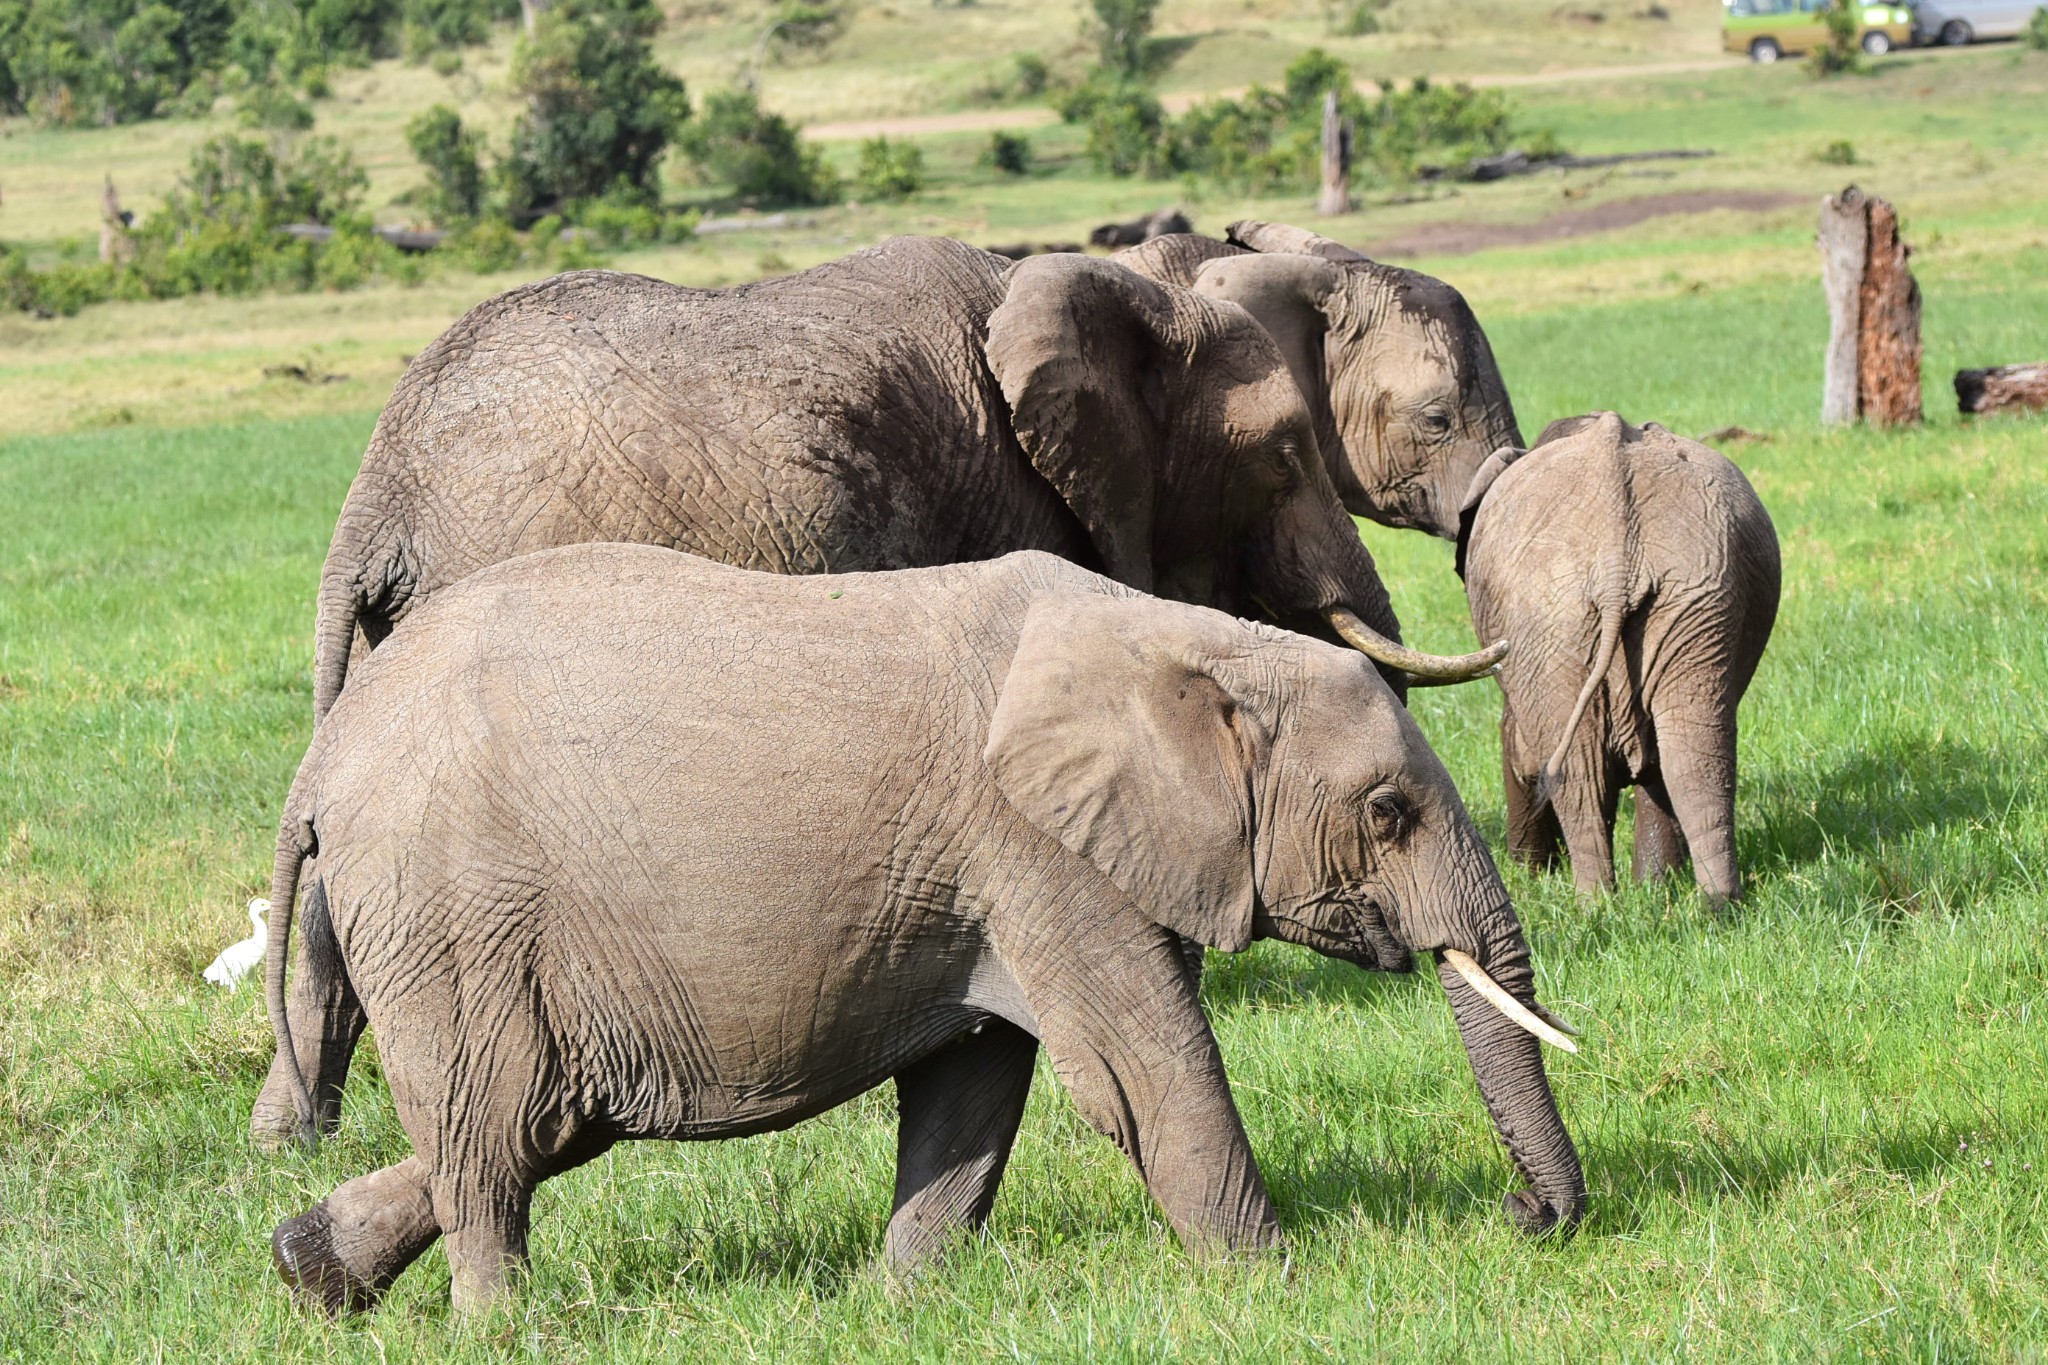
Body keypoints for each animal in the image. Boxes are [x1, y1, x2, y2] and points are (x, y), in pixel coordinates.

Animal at [264, 548, 1589, 1317]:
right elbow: (1142, 1073)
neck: (1187, 641)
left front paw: (905, 1305)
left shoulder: (988, 880)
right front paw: (1274, 1289)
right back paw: (503, 1331)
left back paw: (308, 1270)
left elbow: (975, 1082)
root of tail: (322, 761)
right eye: (1386, 812)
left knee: (544, 1119)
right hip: (452, 913)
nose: (1528, 1221)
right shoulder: (1046, 851)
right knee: (497, 1130)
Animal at [1458, 417, 1777, 908]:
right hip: (1690, 598)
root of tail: (1616, 561)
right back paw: (1714, 906)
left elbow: (1519, 747)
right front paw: (1655, 887)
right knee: (1689, 758)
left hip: (1553, 613)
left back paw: (1594, 906)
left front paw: (1532, 874)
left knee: (1578, 772)